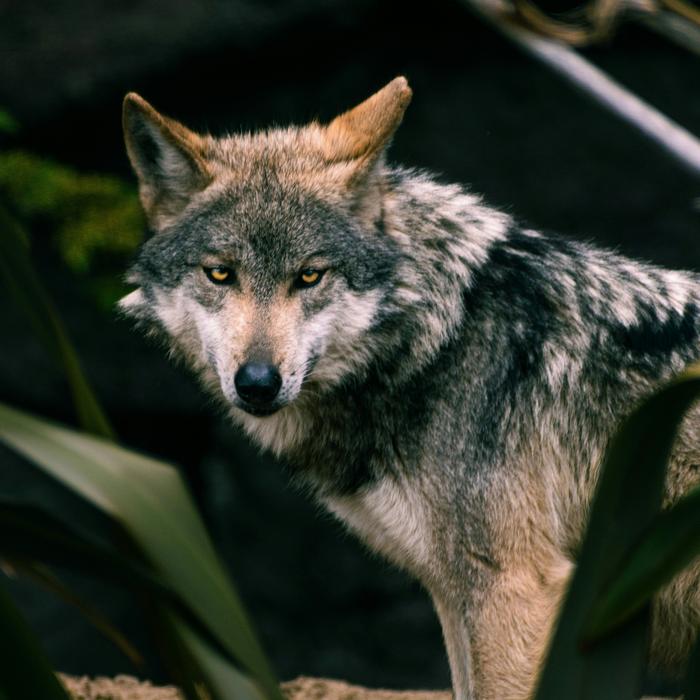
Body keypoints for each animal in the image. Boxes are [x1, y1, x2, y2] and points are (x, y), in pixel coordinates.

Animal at [119, 77, 700, 699]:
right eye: (220, 273)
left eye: (309, 275)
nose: (256, 383)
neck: (440, 337)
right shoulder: (452, 591)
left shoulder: (514, 587)